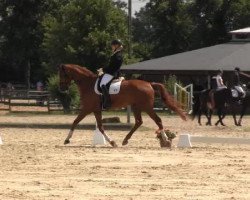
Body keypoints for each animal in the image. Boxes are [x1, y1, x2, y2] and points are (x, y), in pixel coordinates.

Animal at [58, 64, 187, 147]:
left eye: (62, 75)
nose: (62, 89)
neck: (88, 84)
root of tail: (149, 84)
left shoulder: (87, 108)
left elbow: (75, 122)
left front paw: (66, 140)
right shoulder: (96, 110)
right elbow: (100, 126)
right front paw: (112, 142)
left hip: (147, 107)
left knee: (158, 120)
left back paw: (166, 141)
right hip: (136, 107)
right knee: (139, 122)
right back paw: (125, 140)